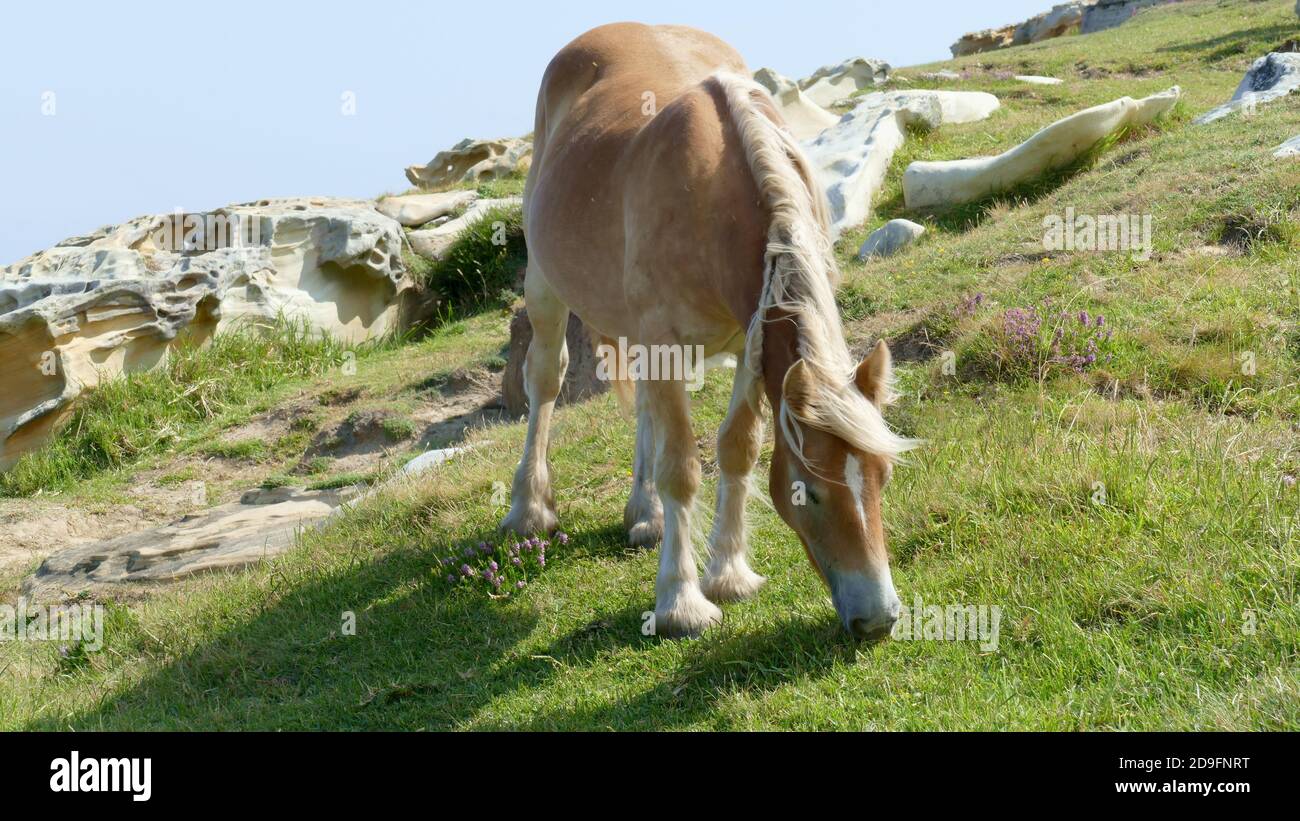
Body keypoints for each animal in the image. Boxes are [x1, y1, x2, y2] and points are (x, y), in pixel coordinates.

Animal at [501, 22, 914, 639]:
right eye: (809, 493)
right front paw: (681, 602)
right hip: (545, 289)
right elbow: (682, 469)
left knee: (643, 409)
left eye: (882, 476)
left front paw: (729, 573)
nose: (878, 618)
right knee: (545, 383)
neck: (713, 191)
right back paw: (529, 509)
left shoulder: (750, 345)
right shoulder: (664, 344)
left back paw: (644, 514)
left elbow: (737, 448)